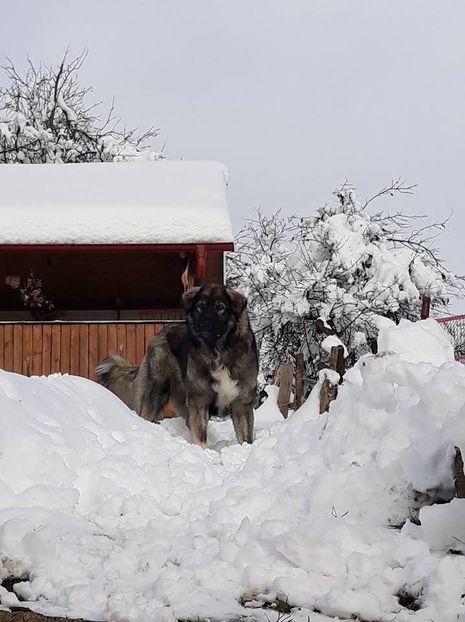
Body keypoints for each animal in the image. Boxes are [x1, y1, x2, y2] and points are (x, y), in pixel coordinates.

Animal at [95, 288, 258, 448]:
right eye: (200, 306)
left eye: (220, 307)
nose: (205, 324)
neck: (218, 351)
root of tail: (160, 333)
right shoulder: (199, 399)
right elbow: (200, 433)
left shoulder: (241, 403)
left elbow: (245, 437)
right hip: (157, 390)